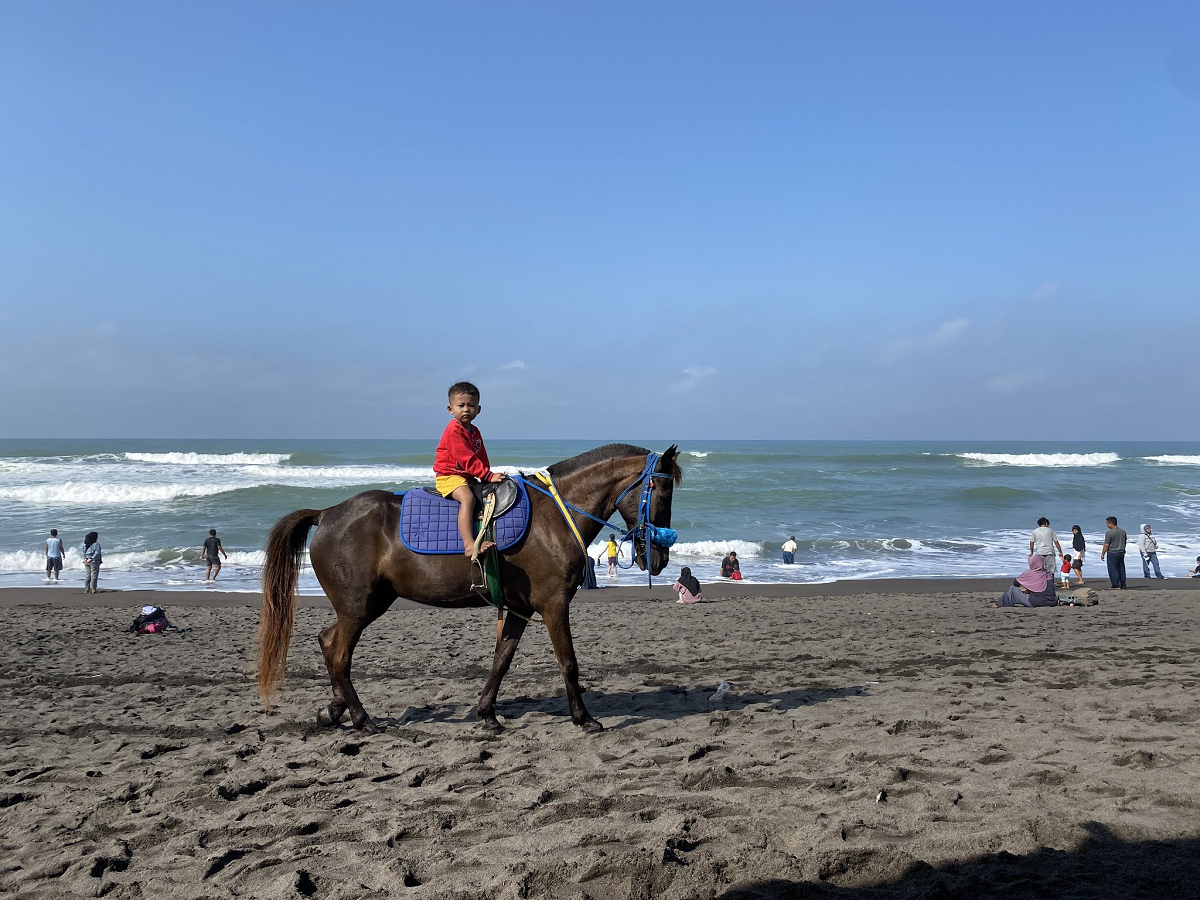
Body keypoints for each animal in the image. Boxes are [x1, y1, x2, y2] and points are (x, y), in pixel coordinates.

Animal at [256, 441, 681, 734]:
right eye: (662, 493)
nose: (658, 558)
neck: (554, 516)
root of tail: (326, 513)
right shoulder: (554, 603)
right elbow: (569, 662)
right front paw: (583, 717)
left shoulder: (520, 608)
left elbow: (501, 660)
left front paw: (487, 713)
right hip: (359, 607)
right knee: (338, 654)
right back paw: (361, 718)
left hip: (366, 605)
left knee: (329, 644)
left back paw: (334, 709)